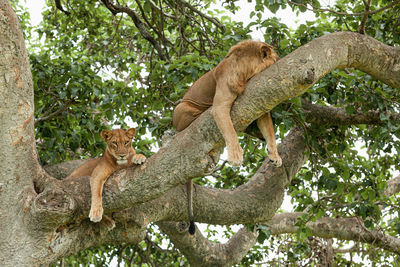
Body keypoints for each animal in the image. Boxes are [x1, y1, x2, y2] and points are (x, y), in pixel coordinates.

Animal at [173, 39, 282, 234]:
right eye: (276, 57)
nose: (282, 59)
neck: (247, 73)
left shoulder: (260, 103)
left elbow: (269, 131)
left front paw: (274, 155)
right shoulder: (220, 105)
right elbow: (230, 131)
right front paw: (236, 156)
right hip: (182, 107)